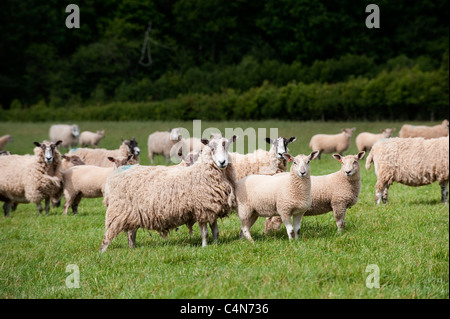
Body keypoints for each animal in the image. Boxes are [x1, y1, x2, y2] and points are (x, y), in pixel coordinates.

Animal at [100, 135, 237, 252]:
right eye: (211, 148)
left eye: (227, 146)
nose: (222, 162)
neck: (201, 171)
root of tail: (116, 173)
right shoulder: (201, 208)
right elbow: (205, 232)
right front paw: (204, 247)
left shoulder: (212, 207)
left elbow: (215, 231)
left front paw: (215, 244)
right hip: (118, 211)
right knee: (108, 236)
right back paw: (102, 252)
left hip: (132, 213)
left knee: (131, 232)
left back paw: (132, 248)